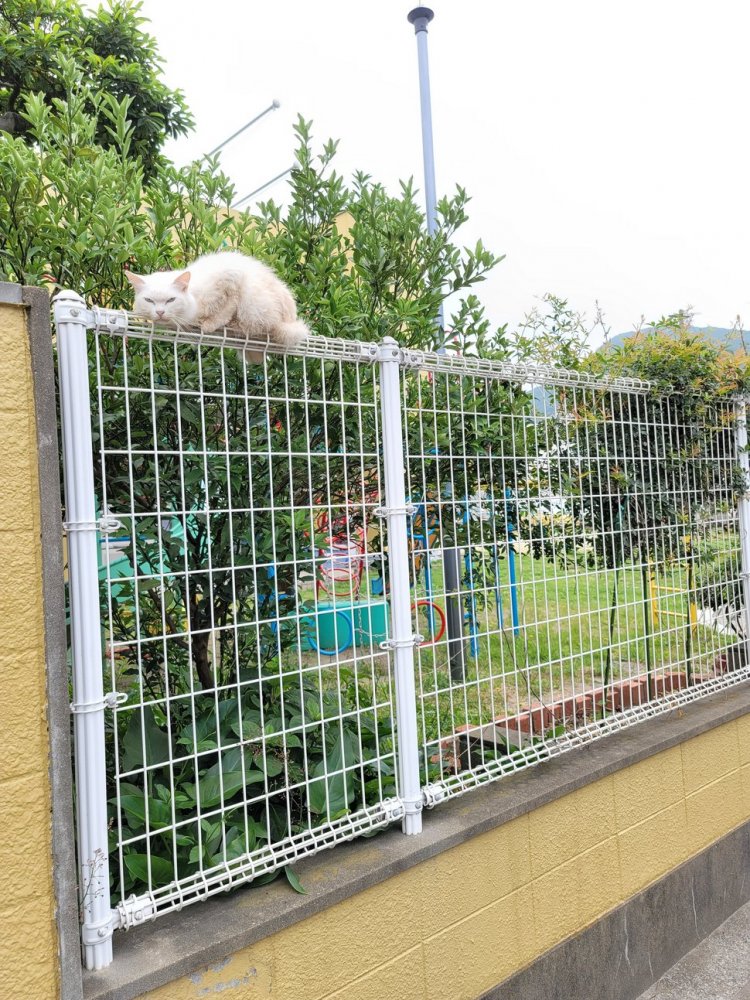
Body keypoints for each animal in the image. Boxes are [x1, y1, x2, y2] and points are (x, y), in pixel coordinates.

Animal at [124, 251, 309, 361]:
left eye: (171, 300)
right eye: (149, 300)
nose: (160, 312)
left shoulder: (233, 279)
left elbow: (227, 308)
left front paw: (209, 325)